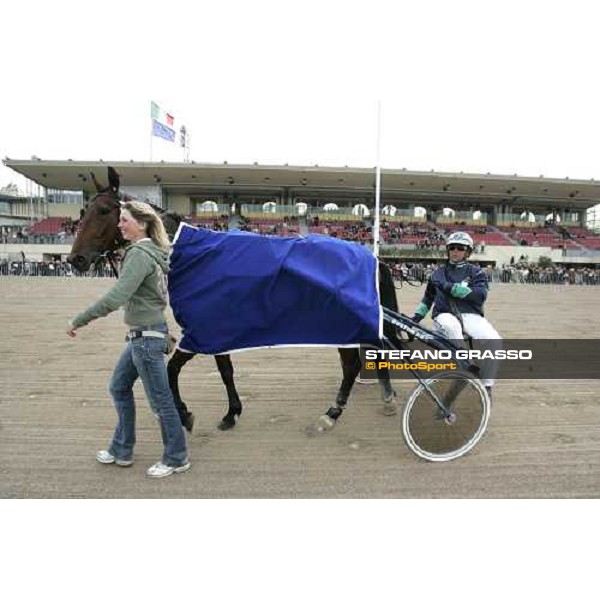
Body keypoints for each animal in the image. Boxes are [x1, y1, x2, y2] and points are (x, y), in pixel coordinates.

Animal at [68, 166, 398, 434]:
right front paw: (231, 412)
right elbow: (224, 371)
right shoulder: (217, 331)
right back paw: (385, 397)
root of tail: (369, 256)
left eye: (104, 211)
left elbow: (173, 370)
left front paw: (186, 414)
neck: (189, 253)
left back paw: (333, 413)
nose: (76, 259)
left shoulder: (203, 331)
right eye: (83, 211)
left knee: (353, 364)